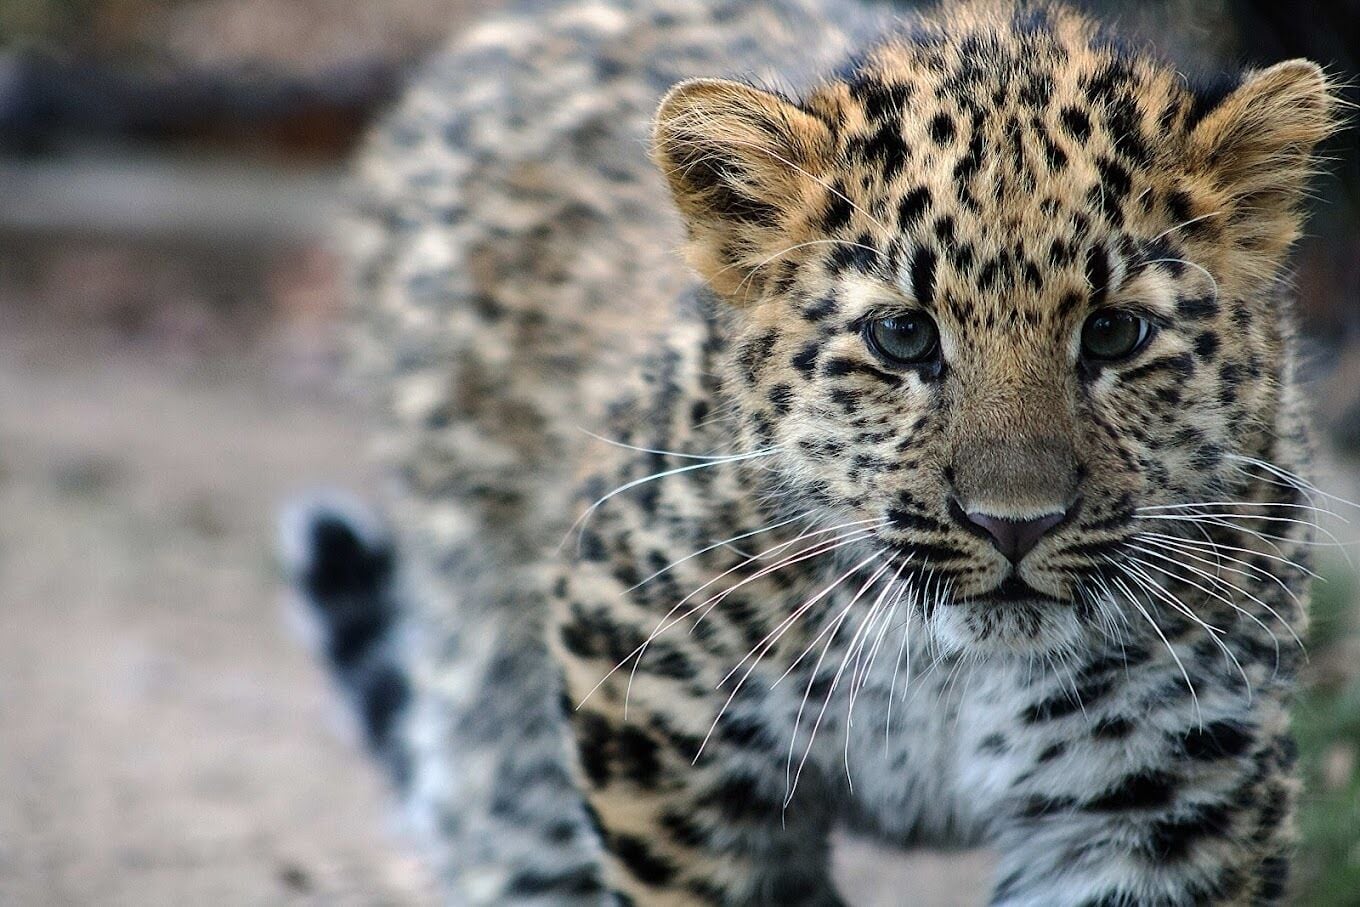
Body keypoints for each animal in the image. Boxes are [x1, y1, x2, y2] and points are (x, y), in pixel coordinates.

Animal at [282, 0, 1341, 903]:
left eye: (1116, 333)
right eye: (903, 338)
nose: (1015, 525)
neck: (948, 670)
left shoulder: (1165, 793)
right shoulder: (647, 695)